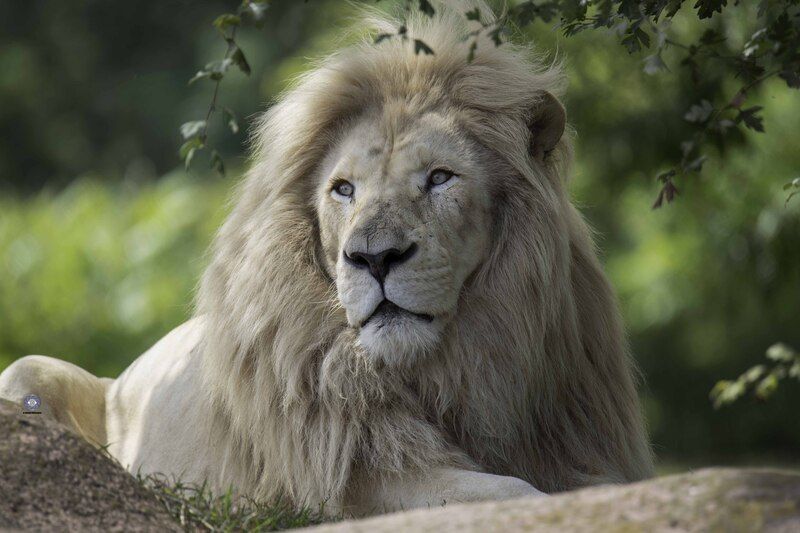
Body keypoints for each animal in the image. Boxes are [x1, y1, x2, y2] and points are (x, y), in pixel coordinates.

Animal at [0, 2, 653, 517]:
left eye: (440, 178)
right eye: (344, 189)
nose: (375, 258)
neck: (456, 366)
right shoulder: (355, 479)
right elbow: (513, 491)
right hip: (27, 371)